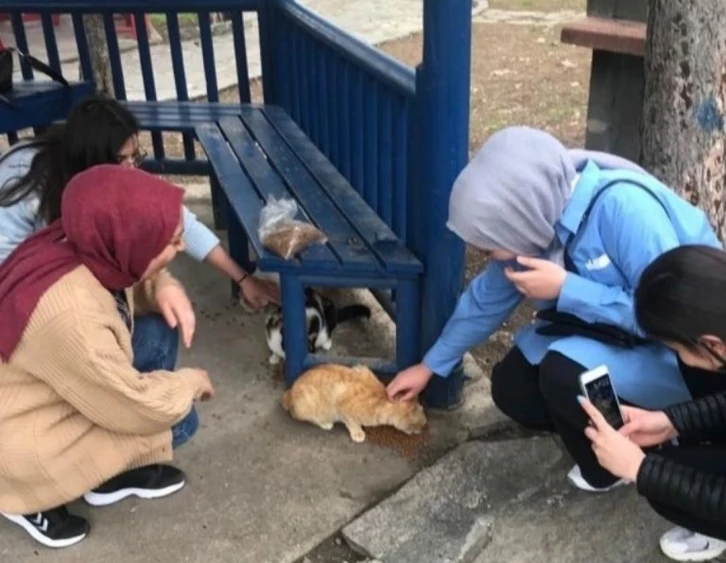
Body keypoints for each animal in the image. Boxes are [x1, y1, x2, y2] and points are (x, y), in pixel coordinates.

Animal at [278, 366, 426, 446]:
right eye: (419, 425)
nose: (421, 430)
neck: (382, 398)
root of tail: (289, 393)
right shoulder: (343, 407)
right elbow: (352, 423)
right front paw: (358, 433)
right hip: (309, 405)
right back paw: (325, 423)